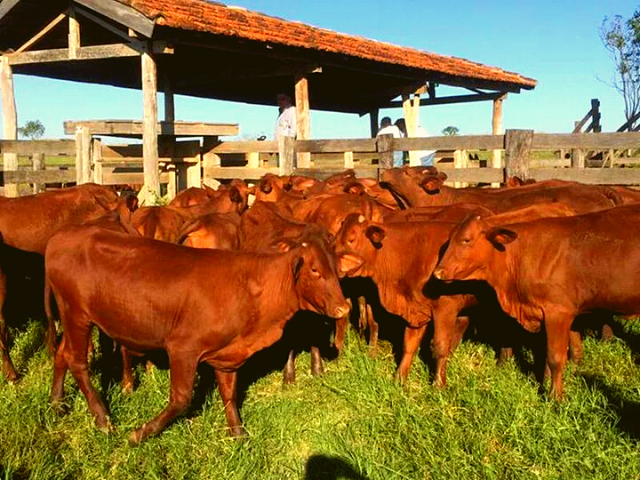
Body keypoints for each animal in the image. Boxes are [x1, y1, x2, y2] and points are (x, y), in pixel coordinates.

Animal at [47, 227, 352, 444]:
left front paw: (238, 434)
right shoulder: (183, 348)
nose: (343, 307)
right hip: (78, 315)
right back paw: (102, 418)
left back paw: (57, 403)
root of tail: (62, 237)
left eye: (336, 267)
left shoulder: (228, 354)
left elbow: (229, 393)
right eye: (315, 269)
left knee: (61, 354)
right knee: (77, 361)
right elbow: (181, 399)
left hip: (71, 315)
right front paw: (141, 434)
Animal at [432, 204, 640, 400]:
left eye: (466, 239)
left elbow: (555, 357)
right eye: (449, 240)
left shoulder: (558, 312)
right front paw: (546, 382)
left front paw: (554, 398)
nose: (438, 272)